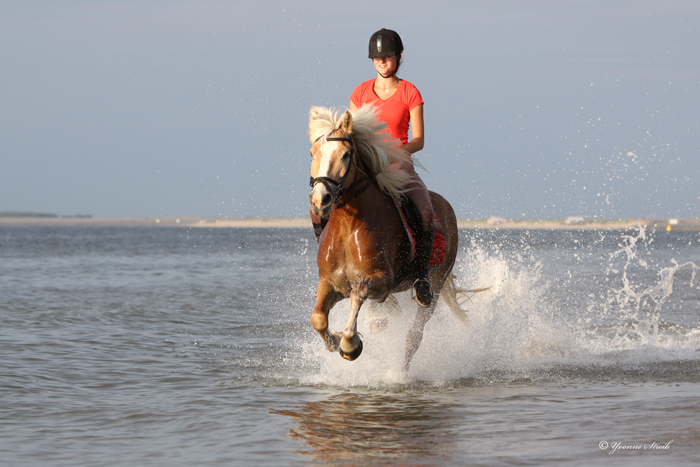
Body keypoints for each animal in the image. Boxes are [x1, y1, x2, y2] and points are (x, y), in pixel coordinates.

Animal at [306, 106, 470, 372]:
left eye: (346, 154)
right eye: (313, 153)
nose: (321, 199)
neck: (348, 229)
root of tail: (446, 206)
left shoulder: (382, 280)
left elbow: (358, 293)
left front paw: (350, 344)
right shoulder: (330, 283)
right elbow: (318, 318)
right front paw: (337, 340)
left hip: (435, 283)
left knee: (414, 336)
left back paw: (399, 372)